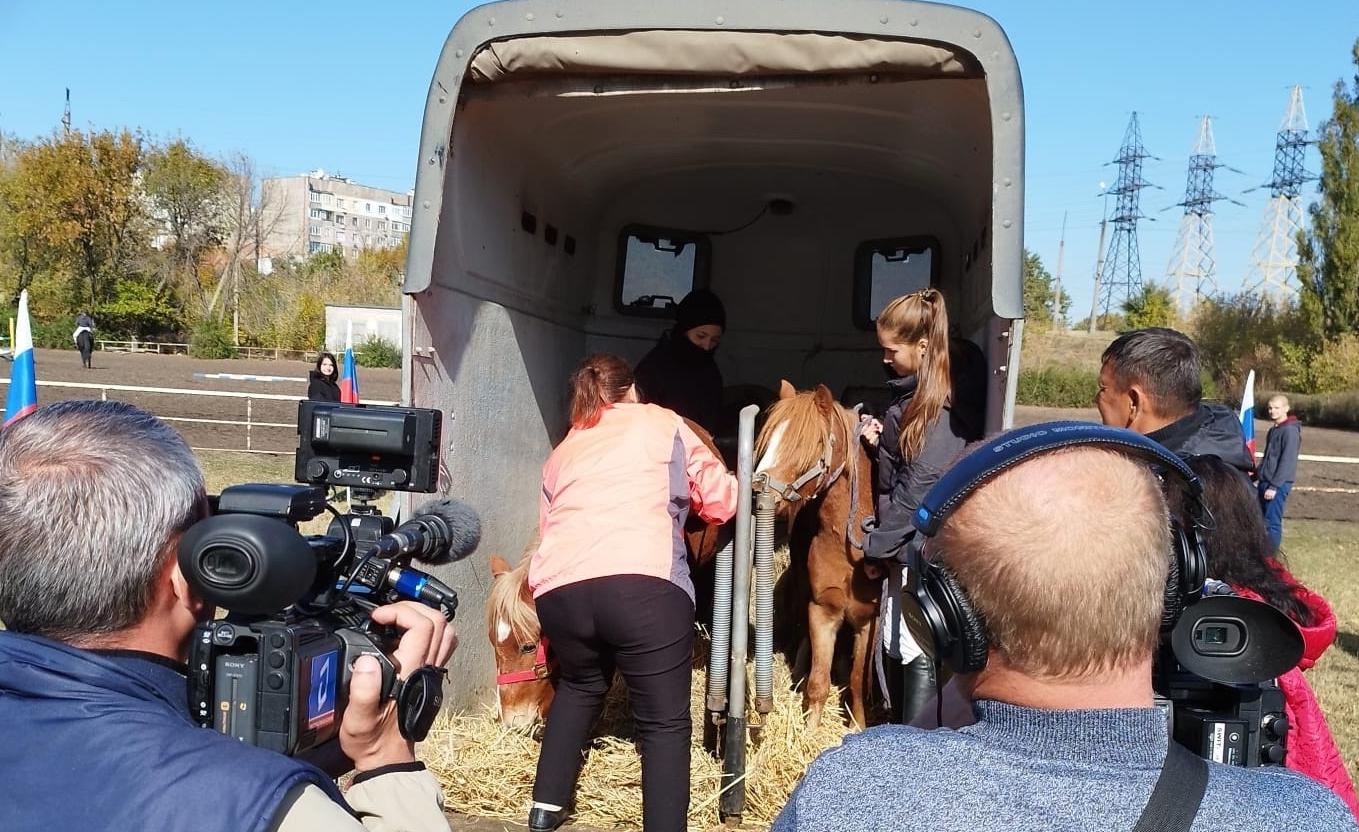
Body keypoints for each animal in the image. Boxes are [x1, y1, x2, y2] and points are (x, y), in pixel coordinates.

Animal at [755, 380, 880, 723]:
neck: (848, 544)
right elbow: (818, 682)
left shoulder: (869, 621)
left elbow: (858, 682)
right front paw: (810, 728)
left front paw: (858, 725)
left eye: (806, 444)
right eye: (770, 439)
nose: (758, 489)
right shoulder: (823, 609)